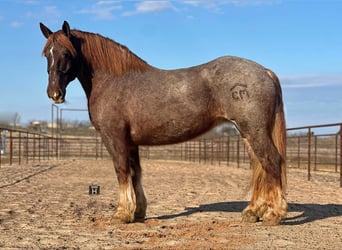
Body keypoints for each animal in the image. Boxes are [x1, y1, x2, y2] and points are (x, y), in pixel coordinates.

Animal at [39, 21, 286, 225]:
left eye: (66, 53)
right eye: (46, 55)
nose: (54, 94)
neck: (113, 81)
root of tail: (264, 71)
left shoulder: (115, 138)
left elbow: (122, 171)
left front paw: (122, 213)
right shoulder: (131, 142)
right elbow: (135, 173)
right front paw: (138, 211)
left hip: (253, 130)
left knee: (272, 162)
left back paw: (274, 214)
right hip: (248, 133)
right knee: (259, 166)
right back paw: (252, 212)